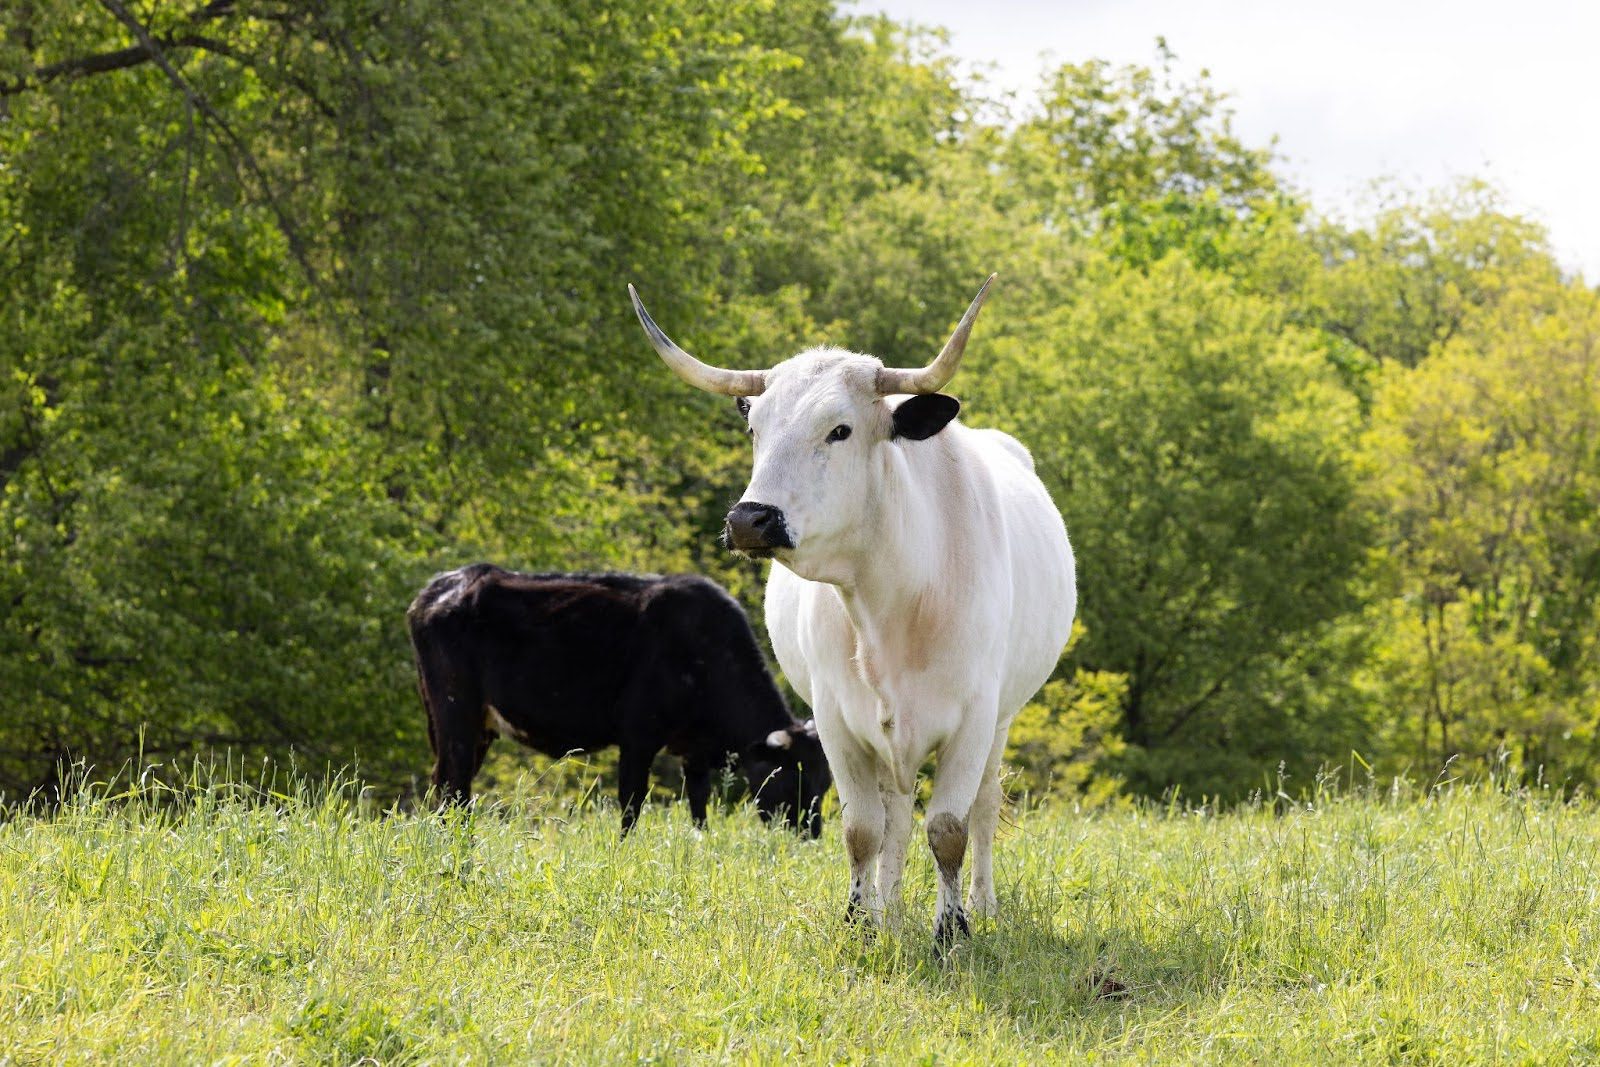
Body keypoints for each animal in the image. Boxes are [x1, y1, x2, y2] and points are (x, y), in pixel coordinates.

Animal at [407, 563, 831, 836]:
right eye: (793, 778)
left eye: (826, 784)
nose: (811, 834)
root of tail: (441, 586)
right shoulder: (638, 736)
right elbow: (631, 802)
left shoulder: (694, 751)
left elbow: (699, 808)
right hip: (456, 712)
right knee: (454, 785)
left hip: (473, 725)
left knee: (446, 786)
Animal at [628, 276, 1076, 946]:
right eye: (756, 430)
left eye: (839, 430)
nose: (749, 519)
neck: (892, 603)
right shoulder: (837, 720)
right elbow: (863, 829)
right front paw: (862, 924)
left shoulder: (974, 718)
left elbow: (950, 828)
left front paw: (953, 932)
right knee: (894, 816)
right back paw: (890, 910)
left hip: (1001, 721)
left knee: (982, 810)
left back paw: (982, 904)